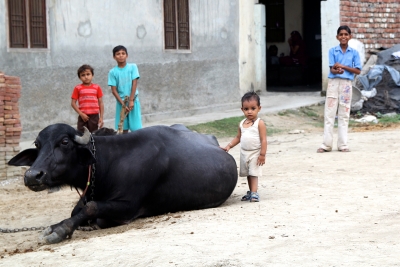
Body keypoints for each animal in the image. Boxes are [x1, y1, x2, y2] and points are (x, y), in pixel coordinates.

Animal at [8, 124, 238, 245]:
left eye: (64, 142)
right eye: (38, 144)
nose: (32, 175)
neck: (110, 162)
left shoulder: (129, 207)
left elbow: (92, 209)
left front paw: (60, 230)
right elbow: (77, 210)